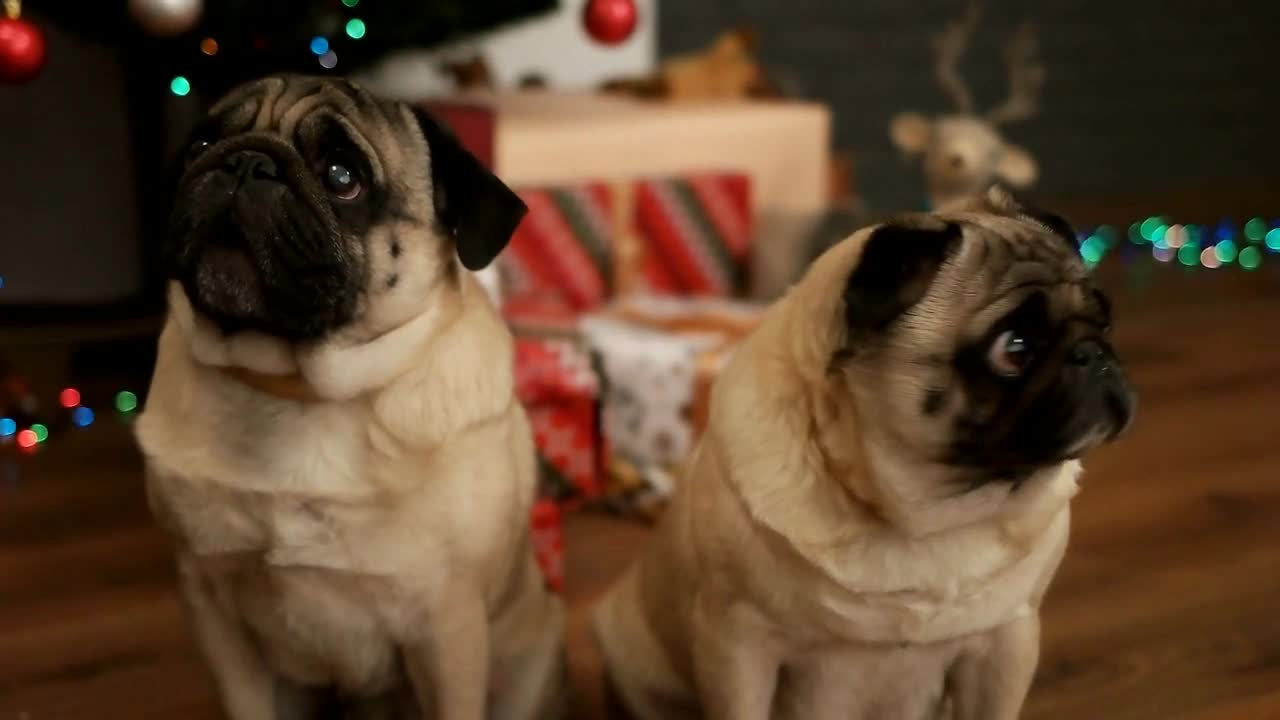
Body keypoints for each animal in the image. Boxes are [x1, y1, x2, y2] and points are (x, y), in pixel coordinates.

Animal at [133, 75, 565, 712]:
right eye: (202, 144)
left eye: (342, 177)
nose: (246, 160)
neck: (296, 387)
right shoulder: (211, 607)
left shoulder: (448, 629)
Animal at [593, 185, 1136, 717]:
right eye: (1014, 348)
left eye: (1106, 319)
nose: (1094, 355)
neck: (929, 514)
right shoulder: (738, 646)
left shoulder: (1007, 641)